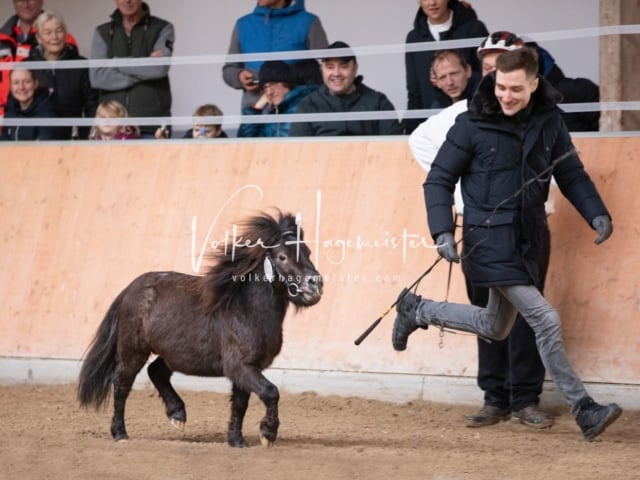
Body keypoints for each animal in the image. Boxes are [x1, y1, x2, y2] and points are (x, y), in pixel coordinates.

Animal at [77, 212, 322, 448]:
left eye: (308, 251)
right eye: (282, 256)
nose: (315, 283)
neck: (245, 310)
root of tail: (129, 290)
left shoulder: (245, 369)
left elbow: (240, 404)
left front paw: (236, 441)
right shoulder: (241, 367)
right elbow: (271, 392)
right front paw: (267, 435)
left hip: (172, 354)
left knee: (156, 371)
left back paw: (177, 414)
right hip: (133, 351)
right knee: (121, 385)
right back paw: (120, 433)